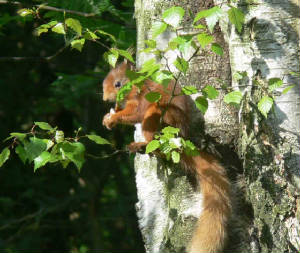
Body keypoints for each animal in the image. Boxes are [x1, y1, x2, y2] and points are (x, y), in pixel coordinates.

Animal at [102, 60, 231, 253]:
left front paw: (113, 118)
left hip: (158, 115)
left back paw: (143, 145)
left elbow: (134, 114)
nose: (105, 99)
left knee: (158, 145)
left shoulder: (142, 100)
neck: (138, 85)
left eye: (118, 84)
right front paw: (107, 117)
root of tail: (182, 141)